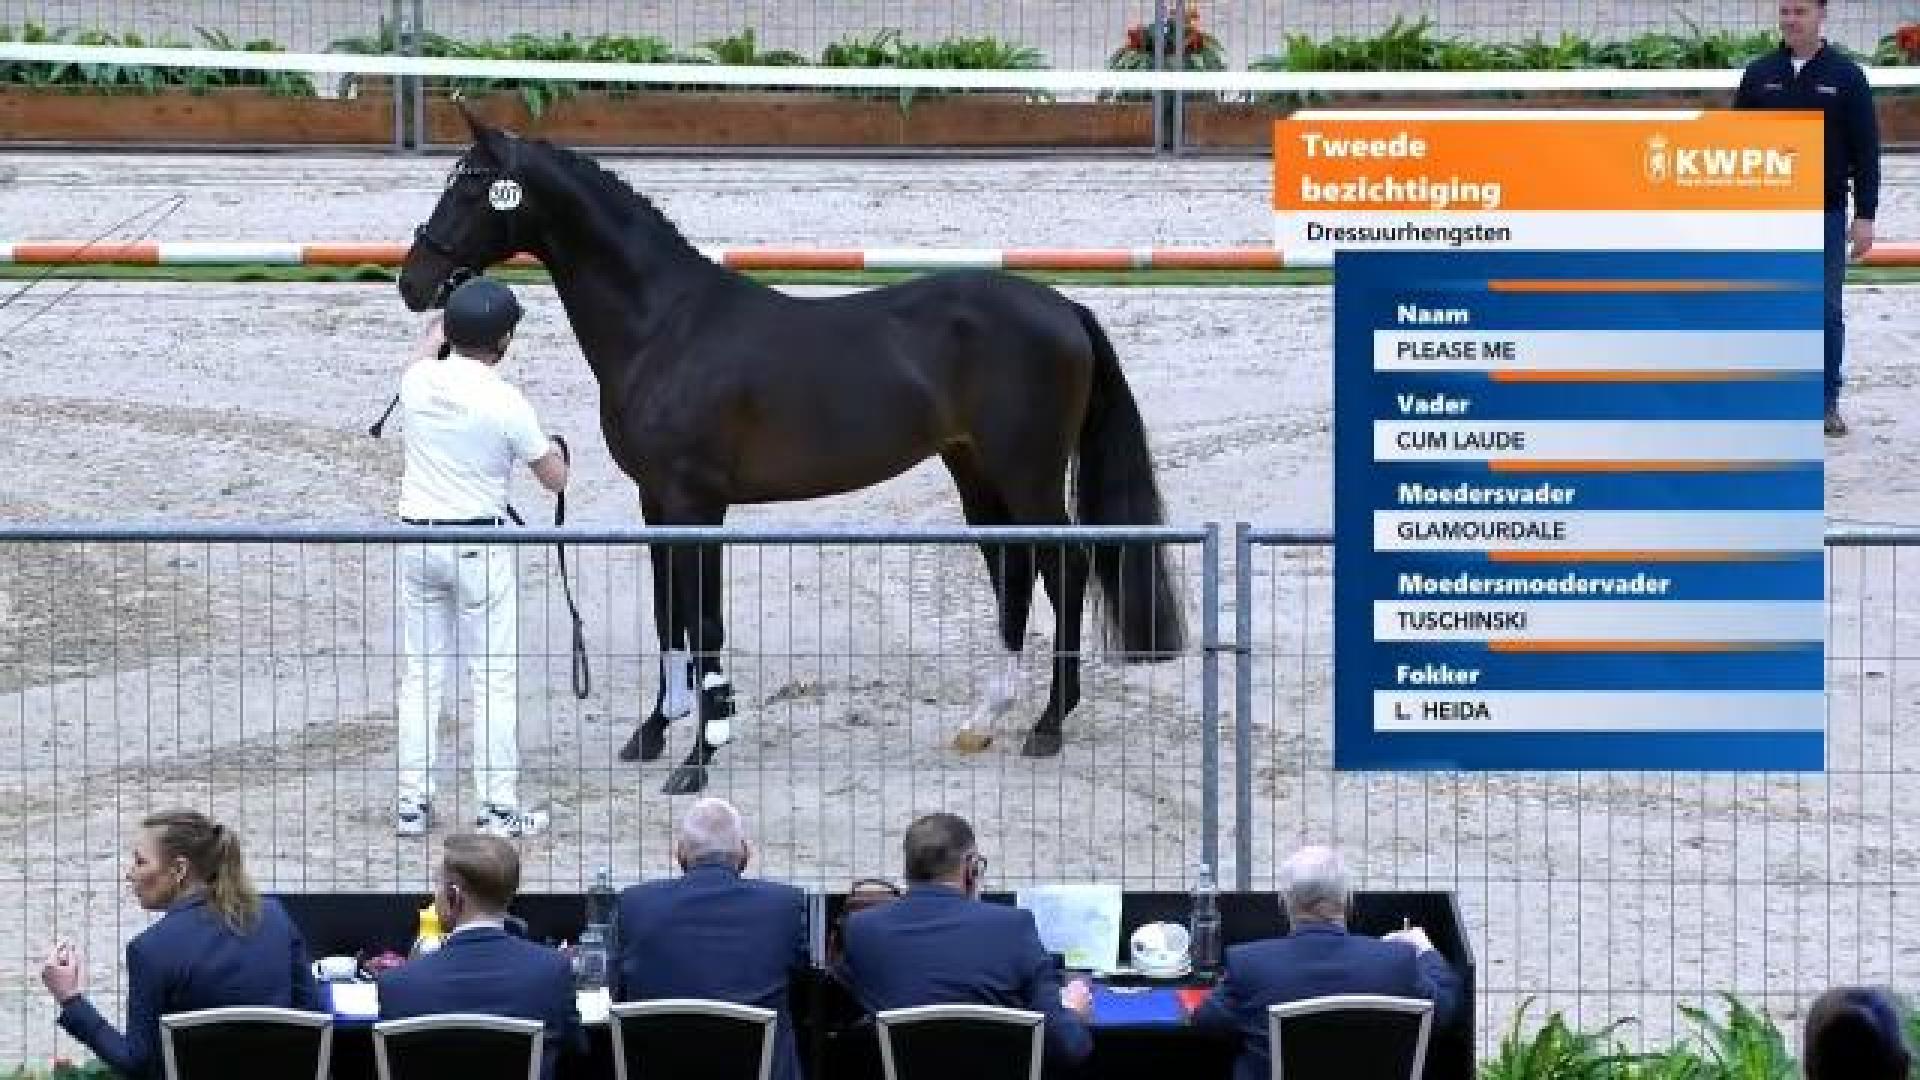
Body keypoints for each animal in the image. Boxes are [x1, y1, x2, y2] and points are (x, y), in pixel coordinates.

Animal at [398, 108, 1185, 795]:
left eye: (470, 185)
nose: (411, 282)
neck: (667, 326)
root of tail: (1064, 308)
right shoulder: (656, 500)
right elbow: (667, 612)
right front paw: (653, 732)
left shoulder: (696, 500)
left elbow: (704, 621)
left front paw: (699, 758)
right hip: (975, 470)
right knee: (1013, 569)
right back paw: (985, 717)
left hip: (1029, 472)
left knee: (1065, 569)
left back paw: (1049, 724)